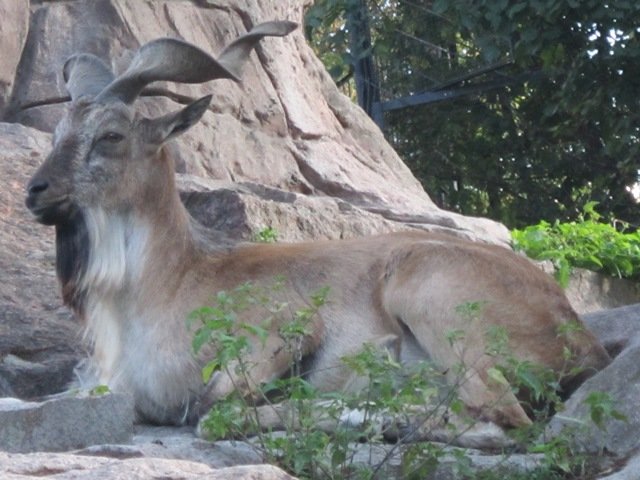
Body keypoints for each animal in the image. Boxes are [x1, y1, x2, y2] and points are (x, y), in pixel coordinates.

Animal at [26, 21, 608, 428]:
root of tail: (581, 339)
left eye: (112, 136)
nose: (36, 191)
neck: (164, 283)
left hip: (429, 295)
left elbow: (214, 405)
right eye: (58, 132)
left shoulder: (285, 328)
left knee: (498, 413)